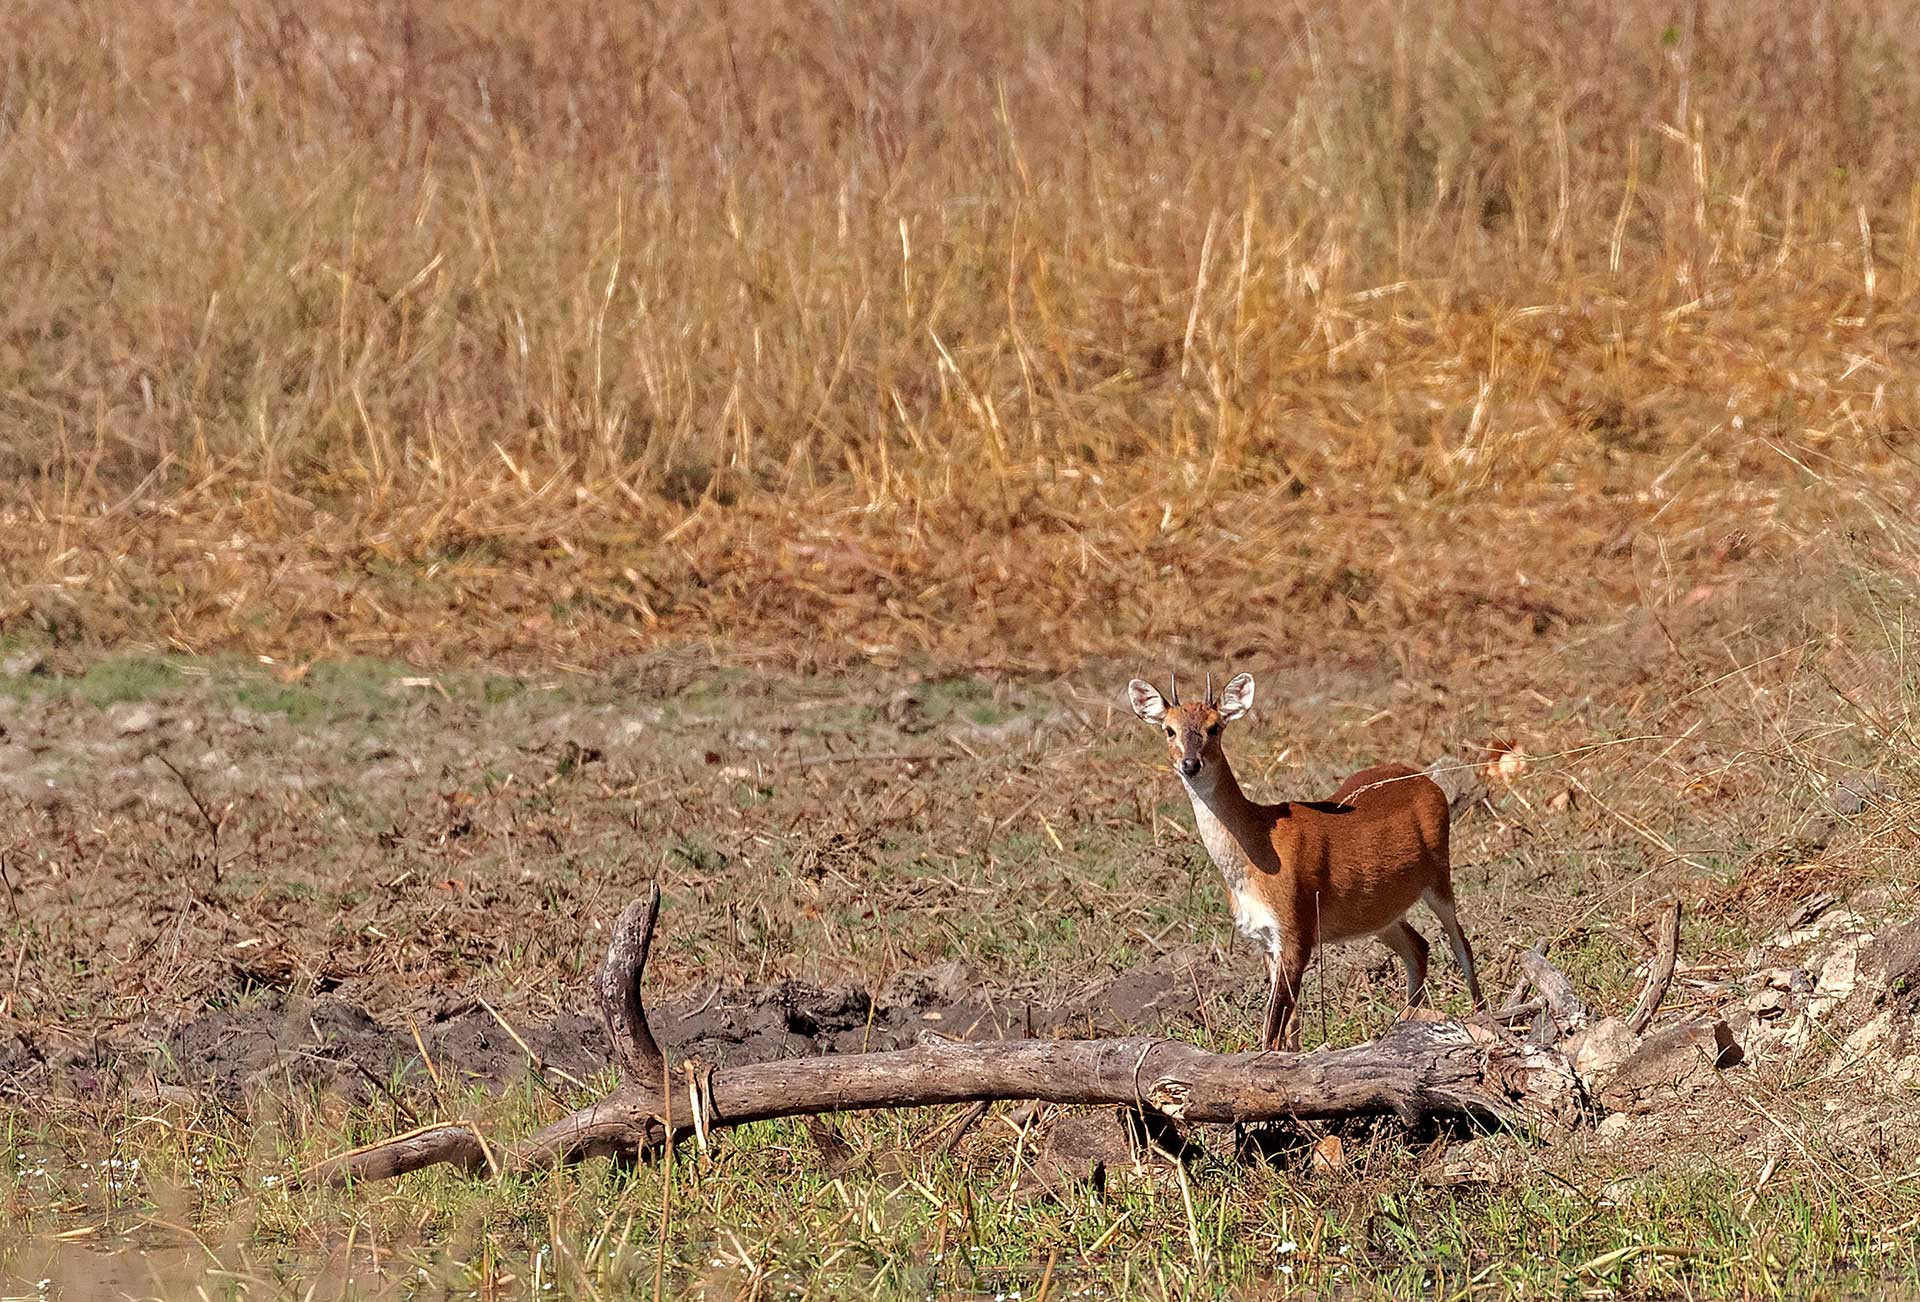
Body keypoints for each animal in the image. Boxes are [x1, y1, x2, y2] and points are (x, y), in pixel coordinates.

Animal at [1127, 672, 1483, 1051]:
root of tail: (1429, 783)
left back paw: (1481, 1015)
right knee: (1418, 946)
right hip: (1379, 911)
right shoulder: (1265, 937)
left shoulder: (1297, 926)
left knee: (1460, 942)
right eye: (1169, 729)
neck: (1258, 853)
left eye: (1214, 727)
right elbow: (1288, 1025)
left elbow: (1273, 1026)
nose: (1191, 764)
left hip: (1439, 873)